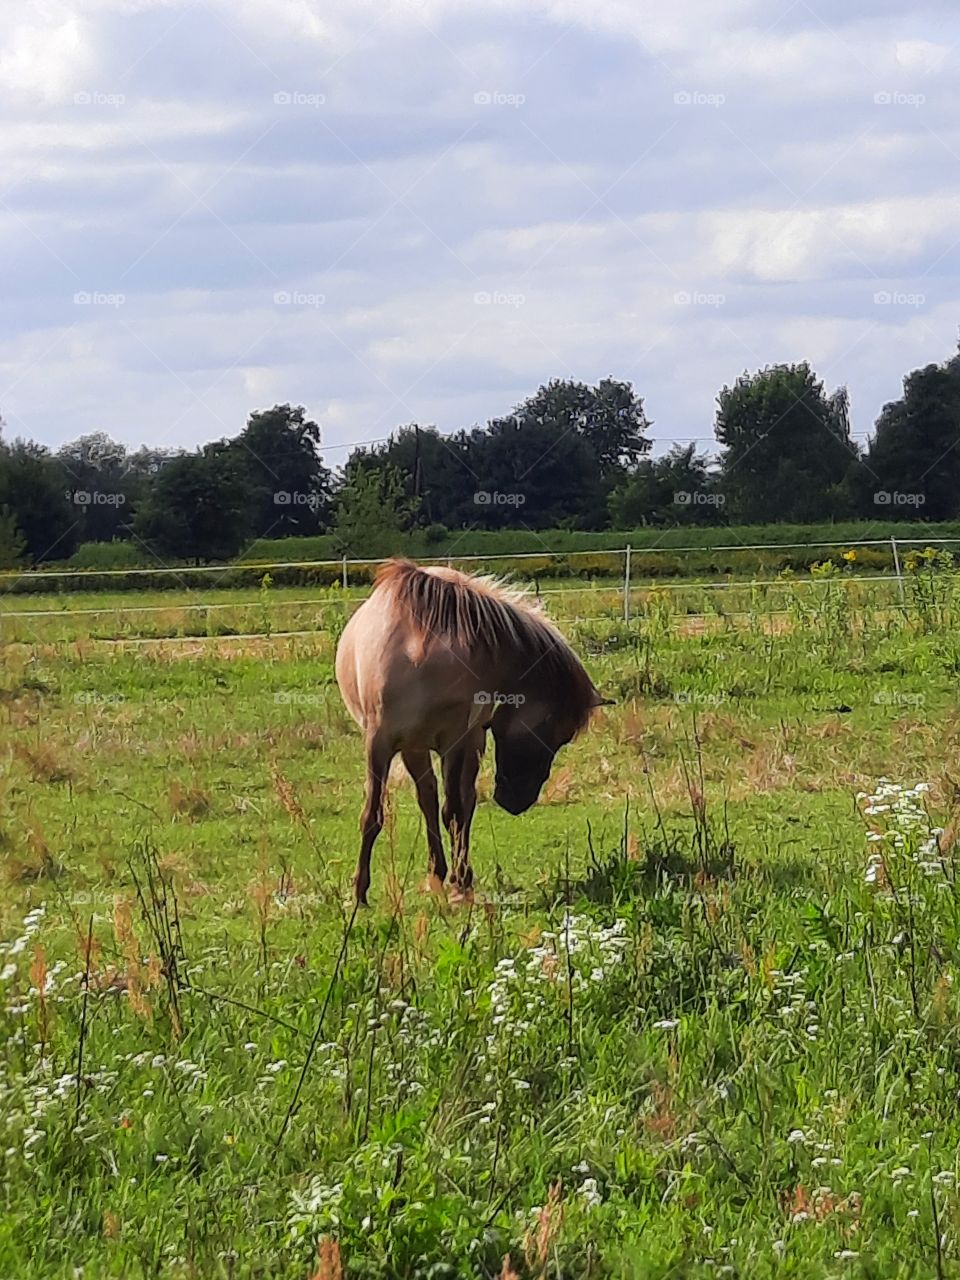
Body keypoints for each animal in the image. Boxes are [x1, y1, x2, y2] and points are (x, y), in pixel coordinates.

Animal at [335, 555, 609, 906]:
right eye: (556, 732)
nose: (518, 801)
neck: (421, 654)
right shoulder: (379, 743)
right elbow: (372, 816)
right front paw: (359, 891)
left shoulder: (456, 741)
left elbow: (454, 811)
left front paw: (459, 885)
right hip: (414, 747)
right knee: (428, 798)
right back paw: (437, 872)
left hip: (466, 743)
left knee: (462, 802)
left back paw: (458, 876)